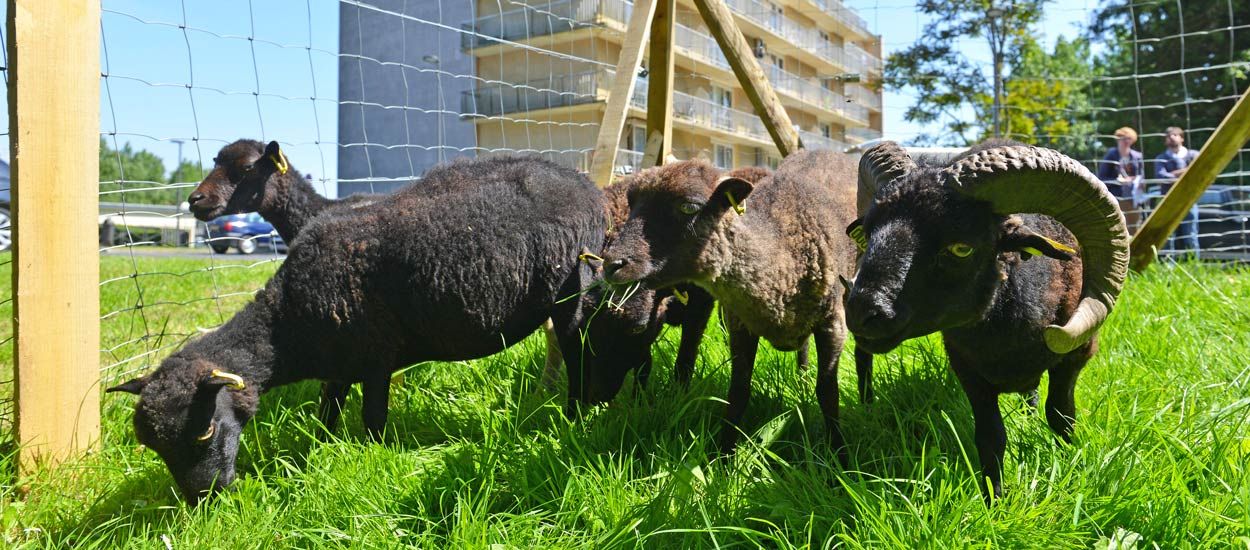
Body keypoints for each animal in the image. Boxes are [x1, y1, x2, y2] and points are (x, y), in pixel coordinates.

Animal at [110, 155, 607, 502]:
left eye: (205, 429)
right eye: (154, 448)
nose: (204, 500)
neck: (286, 326)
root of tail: (586, 184)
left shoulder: (375, 358)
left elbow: (372, 421)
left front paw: (373, 459)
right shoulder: (339, 366)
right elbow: (325, 415)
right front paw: (319, 454)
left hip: (573, 290)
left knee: (577, 348)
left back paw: (574, 417)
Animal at [600, 152, 875, 452]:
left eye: (689, 207)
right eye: (632, 203)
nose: (611, 264)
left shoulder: (833, 324)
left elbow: (827, 392)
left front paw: (839, 453)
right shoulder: (741, 326)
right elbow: (738, 391)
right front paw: (724, 454)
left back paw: (866, 402)